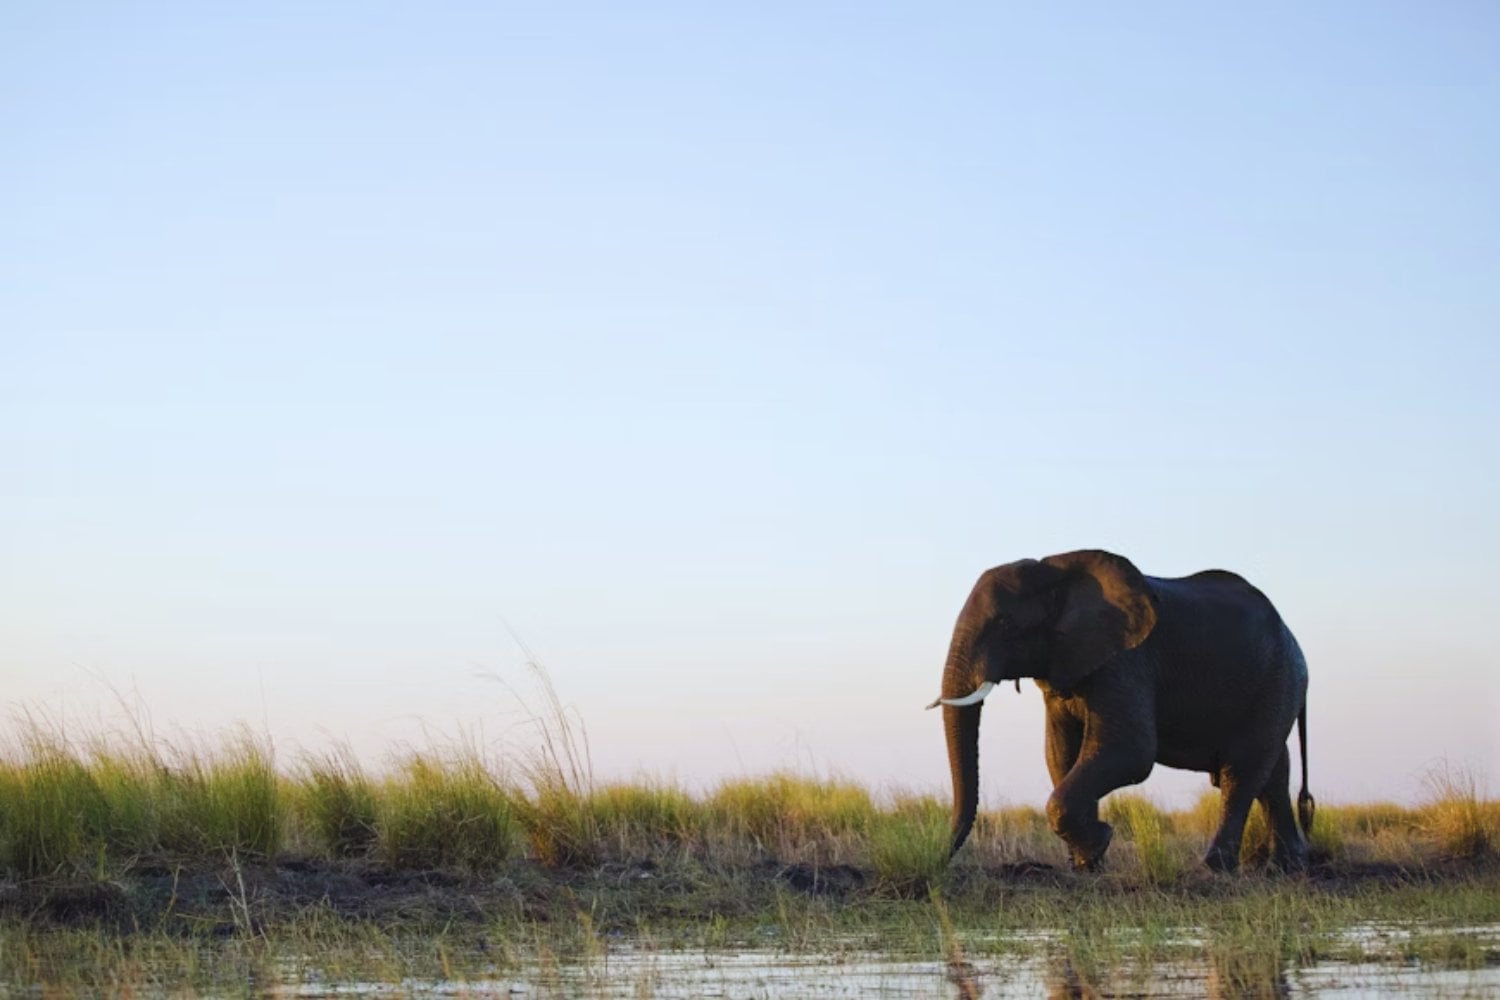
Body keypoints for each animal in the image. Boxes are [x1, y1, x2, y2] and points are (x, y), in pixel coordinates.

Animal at [927, 550, 1313, 872]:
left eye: (1006, 625)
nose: (940, 861)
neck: (1057, 573)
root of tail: (1293, 637)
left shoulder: (1127, 661)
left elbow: (1130, 751)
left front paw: (1099, 841)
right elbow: (1060, 754)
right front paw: (1086, 864)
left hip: (1278, 678)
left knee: (1242, 769)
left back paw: (1216, 868)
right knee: (1273, 772)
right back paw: (1289, 867)